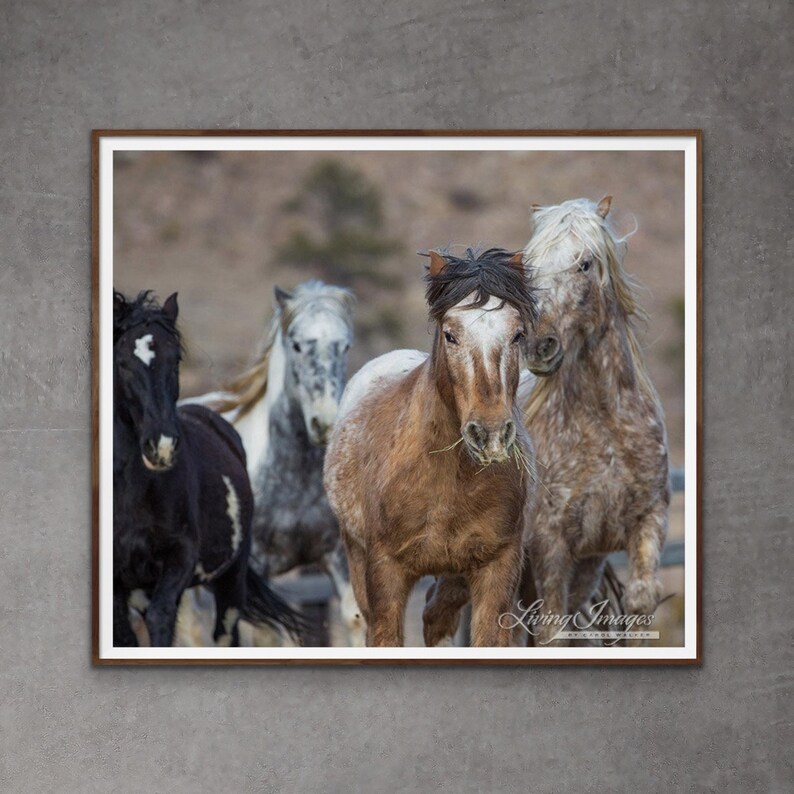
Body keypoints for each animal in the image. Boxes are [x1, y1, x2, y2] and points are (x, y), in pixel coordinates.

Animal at [113, 290, 303, 647]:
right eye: (122, 363)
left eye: (175, 359)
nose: (161, 445)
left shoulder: (180, 557)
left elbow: (161, 618)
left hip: (231, 579)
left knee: (225, 634)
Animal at [323, 248, 563, 647]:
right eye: (450, 335)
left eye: (517, 335)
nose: (490, 433)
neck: (447, 478)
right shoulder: (384, 574)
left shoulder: (497, 570)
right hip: (356, 557)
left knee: (436, 616)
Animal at [518, 196, 670, 646]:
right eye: (527, 263)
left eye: (584, 264)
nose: (538, 344)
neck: (606, 425)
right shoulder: (550, 541)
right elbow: (552, 631)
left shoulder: (648, 520)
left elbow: (640, 602)